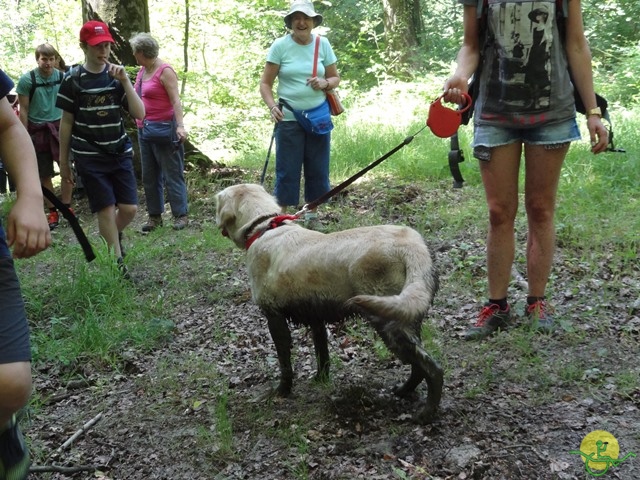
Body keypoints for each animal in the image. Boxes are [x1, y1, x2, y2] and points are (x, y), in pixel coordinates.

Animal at [214, 184, 440, 424]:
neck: (264, 227)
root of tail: (411, 245)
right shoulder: (316, 318)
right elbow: (322, 355)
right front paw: (321, 380)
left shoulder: (274, 317)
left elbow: (285, 364)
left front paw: (282, 391)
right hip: (405, 317)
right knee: (419, 366)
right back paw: (404, 391)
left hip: (388, 324)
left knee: (433, 369)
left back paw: (426, 413)